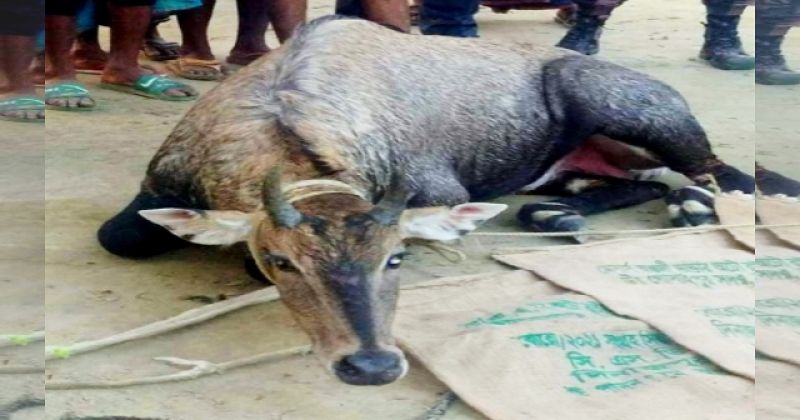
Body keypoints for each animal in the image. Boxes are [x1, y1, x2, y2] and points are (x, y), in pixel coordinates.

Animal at [97, 15, 752, 384]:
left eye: (397, 257)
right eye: (281, 260)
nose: (371, 366)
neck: (281, 110)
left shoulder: (440, 191)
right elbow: (117, 238)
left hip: (617, 104)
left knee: (726, 175)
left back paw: (694, 207)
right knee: (639, 182)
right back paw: (559, 212)